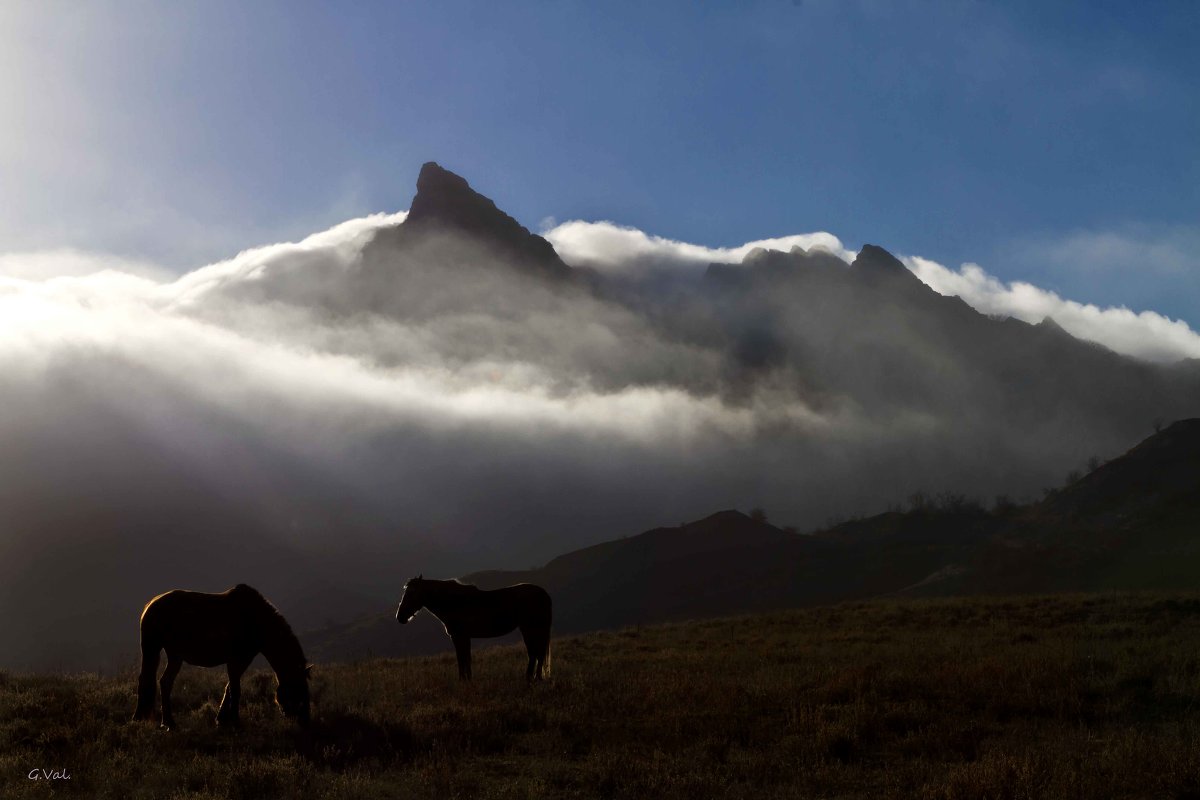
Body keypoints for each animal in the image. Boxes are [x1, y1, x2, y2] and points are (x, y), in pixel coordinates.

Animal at [131, 585, 309, 729]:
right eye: (299, 690)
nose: (305, 720)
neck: (255, 621)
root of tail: (150, 604)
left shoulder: (244, 660)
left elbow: (229, 687)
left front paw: (221, 720)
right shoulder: (235, 660)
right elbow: (235, 689)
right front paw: (235, 723)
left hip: (174, 655)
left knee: (164, 682)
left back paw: (167, 722)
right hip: (152, 649)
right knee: (148, 679)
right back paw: (144, 718)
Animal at [398, 575, 556, 681]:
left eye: (411, 593)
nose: (399, 617)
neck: (455, 603)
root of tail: (544, 594)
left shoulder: (459, 636)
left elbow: (462, 658)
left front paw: (463, 680)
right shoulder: (464, 637)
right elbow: (466, 658)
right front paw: (468, 679)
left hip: (530, 628)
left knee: (535, 653)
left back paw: (532, 678)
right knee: (537, 653)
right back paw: (533, 677)